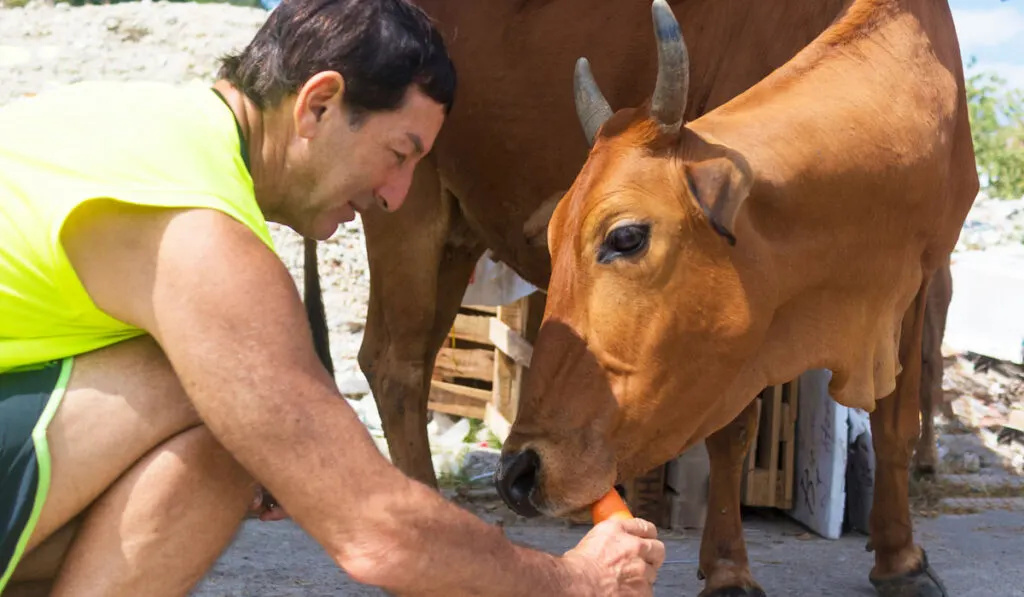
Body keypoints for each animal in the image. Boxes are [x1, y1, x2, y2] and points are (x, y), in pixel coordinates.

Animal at [495, 0, 974, 593]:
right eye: (553, 238)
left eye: (625, 236)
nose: (516, 474)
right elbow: (733, 434)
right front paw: (728, 570)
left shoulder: (918, 278)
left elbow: (893, 423)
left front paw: (902, 560)